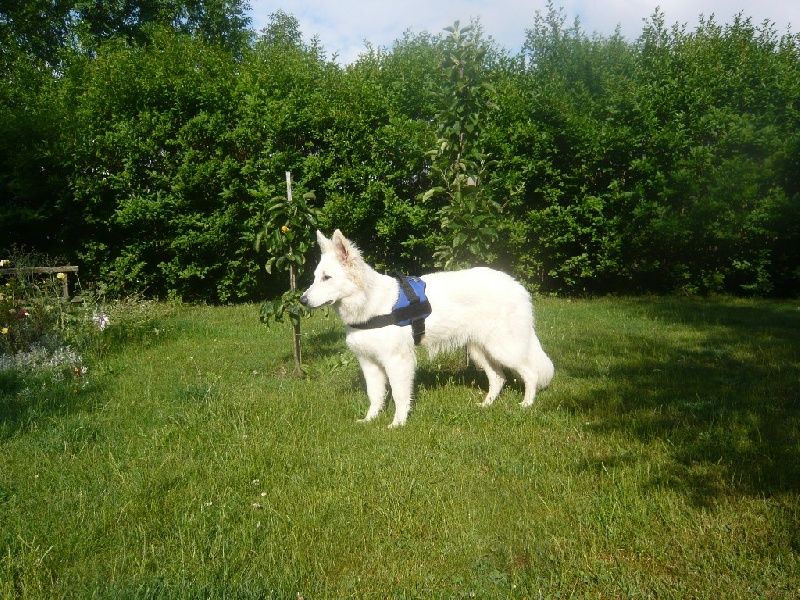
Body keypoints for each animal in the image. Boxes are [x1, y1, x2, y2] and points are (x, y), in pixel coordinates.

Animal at [299, 230, 554, 427]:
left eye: (327, 277)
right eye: (315, 277)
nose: (302, 300)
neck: (370, 303)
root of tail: (516, 285)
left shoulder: (397, 361)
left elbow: (399, 395)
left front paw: (398, 424)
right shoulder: (369, 363)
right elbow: (375, 395)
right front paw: (370, 420)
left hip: (503, 348)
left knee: (530, 373)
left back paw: (526, 404)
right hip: (479, 351)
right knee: (499, 378)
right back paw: (485, 405)